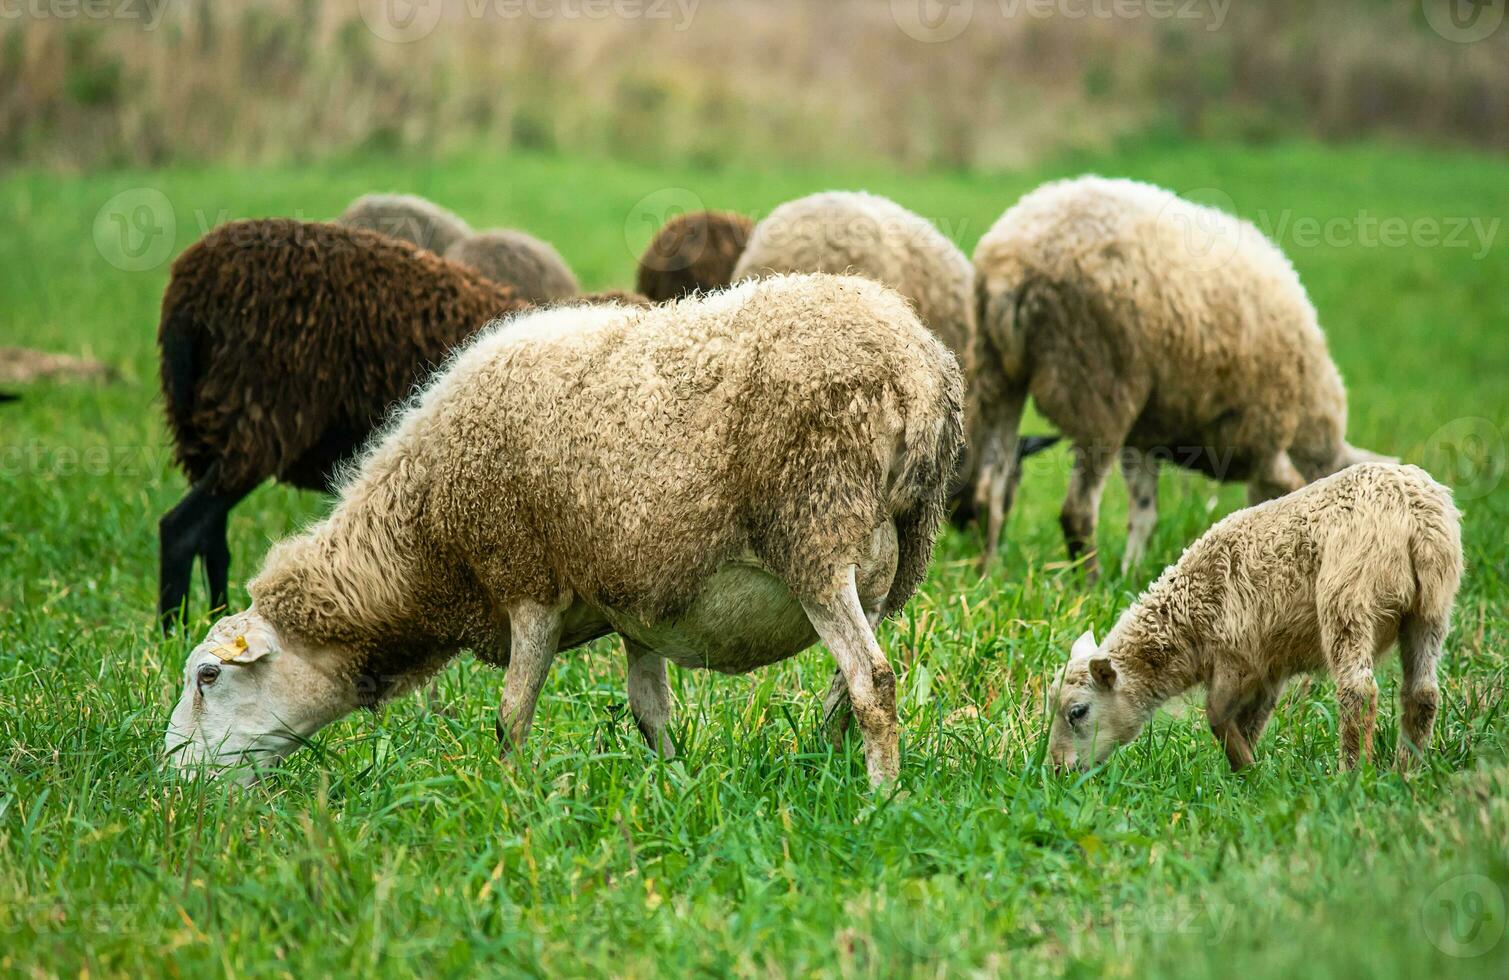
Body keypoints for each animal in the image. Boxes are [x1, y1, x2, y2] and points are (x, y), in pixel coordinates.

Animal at [156, 217, 528, 628]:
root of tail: (189, 293)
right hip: (256, 416)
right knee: (181, 529)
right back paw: (172, 629)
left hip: (207, 430)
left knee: (212, 539)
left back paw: (216, 618)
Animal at [168, 271, 965, 785]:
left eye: (209, 675)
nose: (171, 783)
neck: (423, 541)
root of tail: (920, 372)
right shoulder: (638, 605)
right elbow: (651, 714)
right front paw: (674, 791)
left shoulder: (525, 581)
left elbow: (511, 714)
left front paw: (506, 799)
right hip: (893, 563)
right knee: (845, 689)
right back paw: (826, 773)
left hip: (815, 534)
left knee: (873, 683)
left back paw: (879, 803)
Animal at [971, 176, 1394, 576]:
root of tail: (1013, 262)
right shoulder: (1266, 442)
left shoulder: (1143, 439)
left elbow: (1144, 514)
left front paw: (1130, 574)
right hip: (1100, 389)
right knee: (1077, 510)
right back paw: (1086, 584)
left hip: (997, 378)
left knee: (990, 491)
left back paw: (987, 573)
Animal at [1050, 465, 1460, 773]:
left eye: (1077, 711)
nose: (1057, 769)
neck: (1187, 623)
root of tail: (1414, 516)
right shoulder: (1268, 665)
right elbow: (1250, 720)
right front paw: (1245, 770)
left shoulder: (1236, 651)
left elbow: (1216, 713)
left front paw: (1245, 768)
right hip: (1431, 607)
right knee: (1423, 693)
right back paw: (1405, 771)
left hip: (1350, 595)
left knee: (1358, 690)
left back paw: (1352, 774)